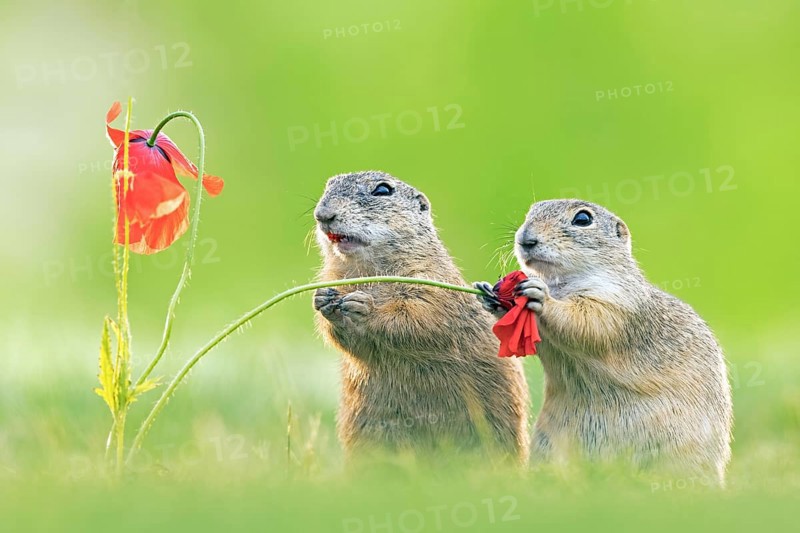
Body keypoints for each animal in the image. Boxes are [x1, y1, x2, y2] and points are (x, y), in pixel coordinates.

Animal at [312, 170, 530, 465]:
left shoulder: (430, 281)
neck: (368, 270)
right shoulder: (334, 276)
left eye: (383, 190)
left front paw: (363, 306)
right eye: (328, 185)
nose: (322, 214)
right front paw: (324, 300)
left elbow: (418, 317)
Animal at [476, 199, 732, 484]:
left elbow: (587, 322)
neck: (561, 283)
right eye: (530, 212)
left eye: (583, 219)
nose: (525, 239)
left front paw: (540, 296)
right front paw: (489, 293)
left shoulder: (617, 303)